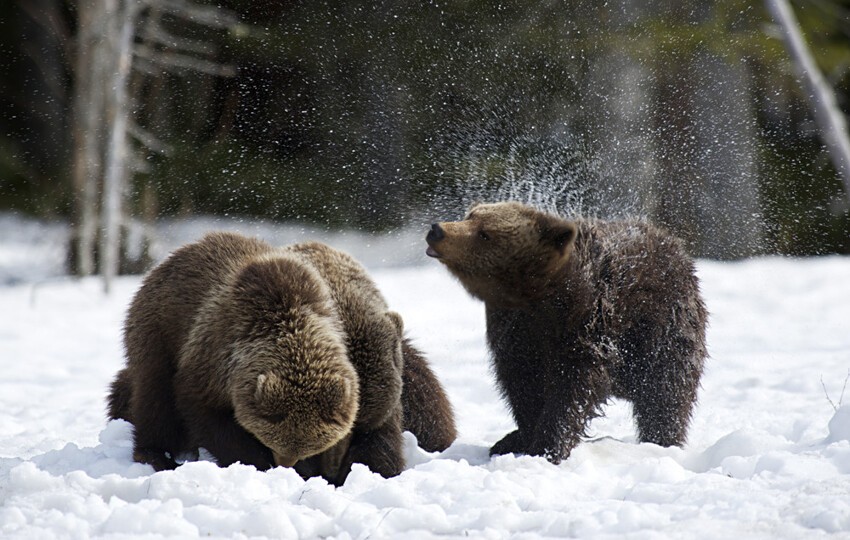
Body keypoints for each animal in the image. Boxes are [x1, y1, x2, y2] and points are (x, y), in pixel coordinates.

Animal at [424, 200, 708, 462]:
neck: (542, 300)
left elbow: (574, 388)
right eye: (470, 215)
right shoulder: (516, 332)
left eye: (485, 233)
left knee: (665, 394)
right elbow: (522, 382)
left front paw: (548, 446)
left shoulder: (589, 323)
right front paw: (517, 438)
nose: (438, 230)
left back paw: (662, 441)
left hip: (664, 328)